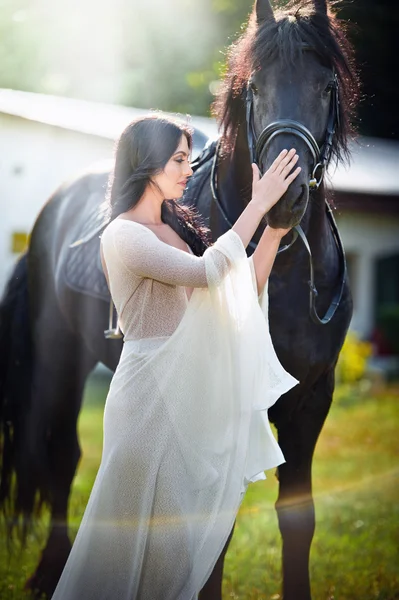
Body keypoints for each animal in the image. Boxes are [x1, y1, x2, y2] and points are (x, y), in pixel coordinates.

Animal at [0, 0, 360, 596]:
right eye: (255, 86)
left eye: (326, 85)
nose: (283, 199)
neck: (283, 273)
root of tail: (56, 204)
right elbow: (213, 535)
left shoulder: (313, 399)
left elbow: (297, 518)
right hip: (59, 362)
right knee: (62, 456)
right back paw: (51, 570)